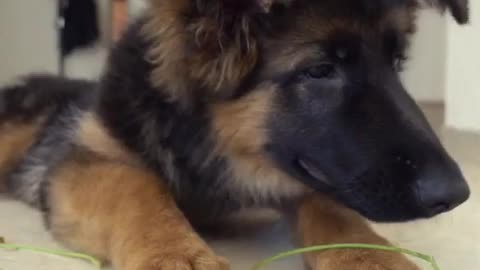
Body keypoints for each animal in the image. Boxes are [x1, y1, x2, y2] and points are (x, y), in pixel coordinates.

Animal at [0, 0, 472, 270]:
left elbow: (332, 208)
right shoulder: (85, 159)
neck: (213, 146)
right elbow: (136, 187)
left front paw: (369, 256)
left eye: (397, 63)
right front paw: (173, 252)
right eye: (321, 69)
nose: (456, 194)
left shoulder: (306, 170)